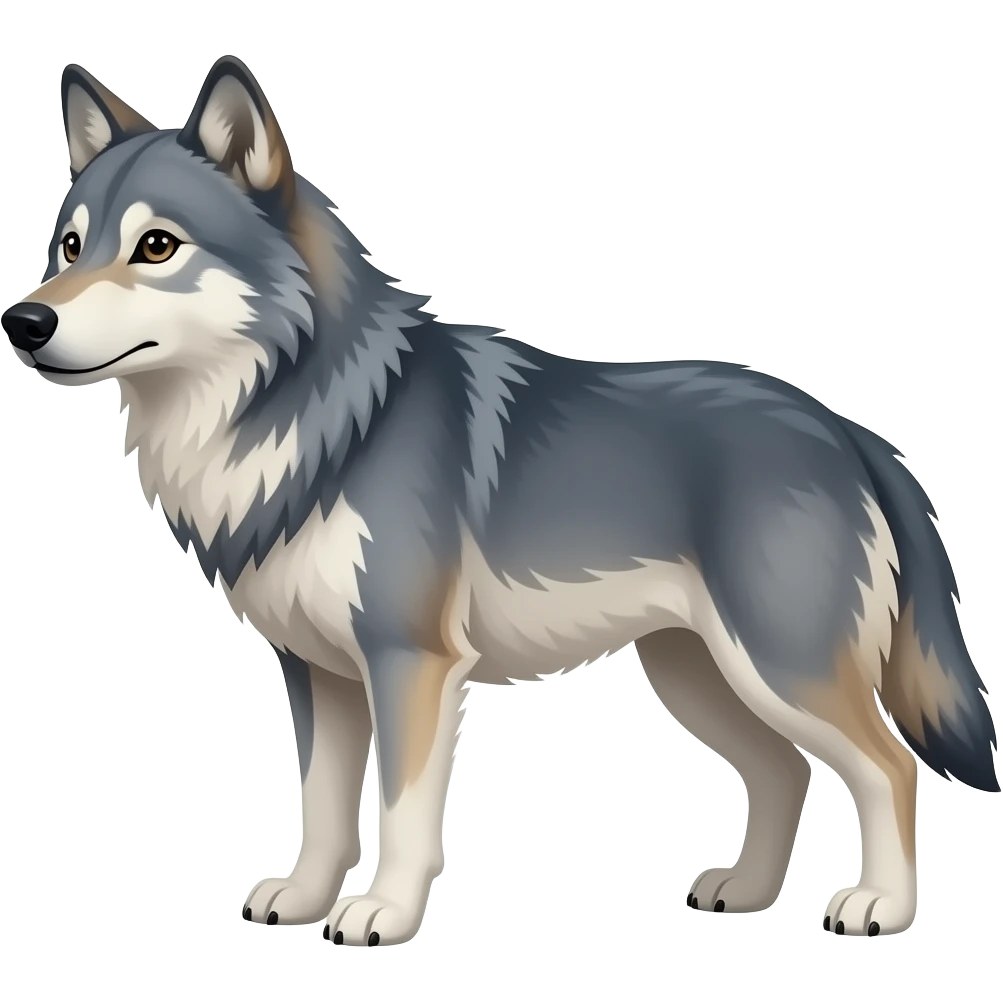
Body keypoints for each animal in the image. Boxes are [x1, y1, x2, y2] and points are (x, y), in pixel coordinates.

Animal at [3, 55, 997, 947]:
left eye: (155, 246)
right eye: (68, 247)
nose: (24, 321)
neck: (314, 417)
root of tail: (848, 431)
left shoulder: (411, 663)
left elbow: (401, 811)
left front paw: (382, 915)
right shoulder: (318, 672)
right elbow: (321, 806)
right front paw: (304, 898)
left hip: (777, 667)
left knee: (888, 768)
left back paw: (879, 907)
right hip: (697, 674)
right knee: (786, 772)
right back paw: (745, 893)